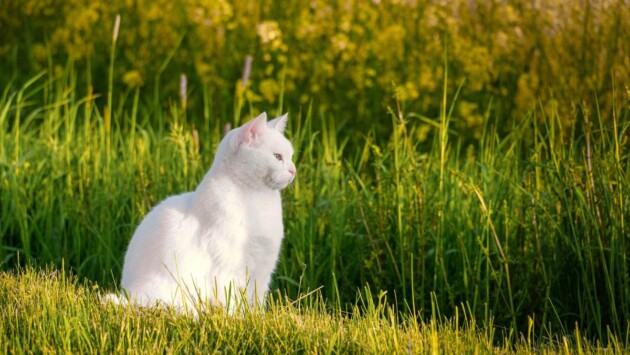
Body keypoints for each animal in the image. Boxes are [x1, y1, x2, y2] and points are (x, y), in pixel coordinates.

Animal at [107, 112, 298, 312]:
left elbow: (257, 303)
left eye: (291, 156)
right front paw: (236, 317)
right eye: (278, 157)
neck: (257, 201)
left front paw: (255, 317)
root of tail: (129, 296)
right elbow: (233, 302)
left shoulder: (261, 272)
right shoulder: (228, 270)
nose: (293, 170)